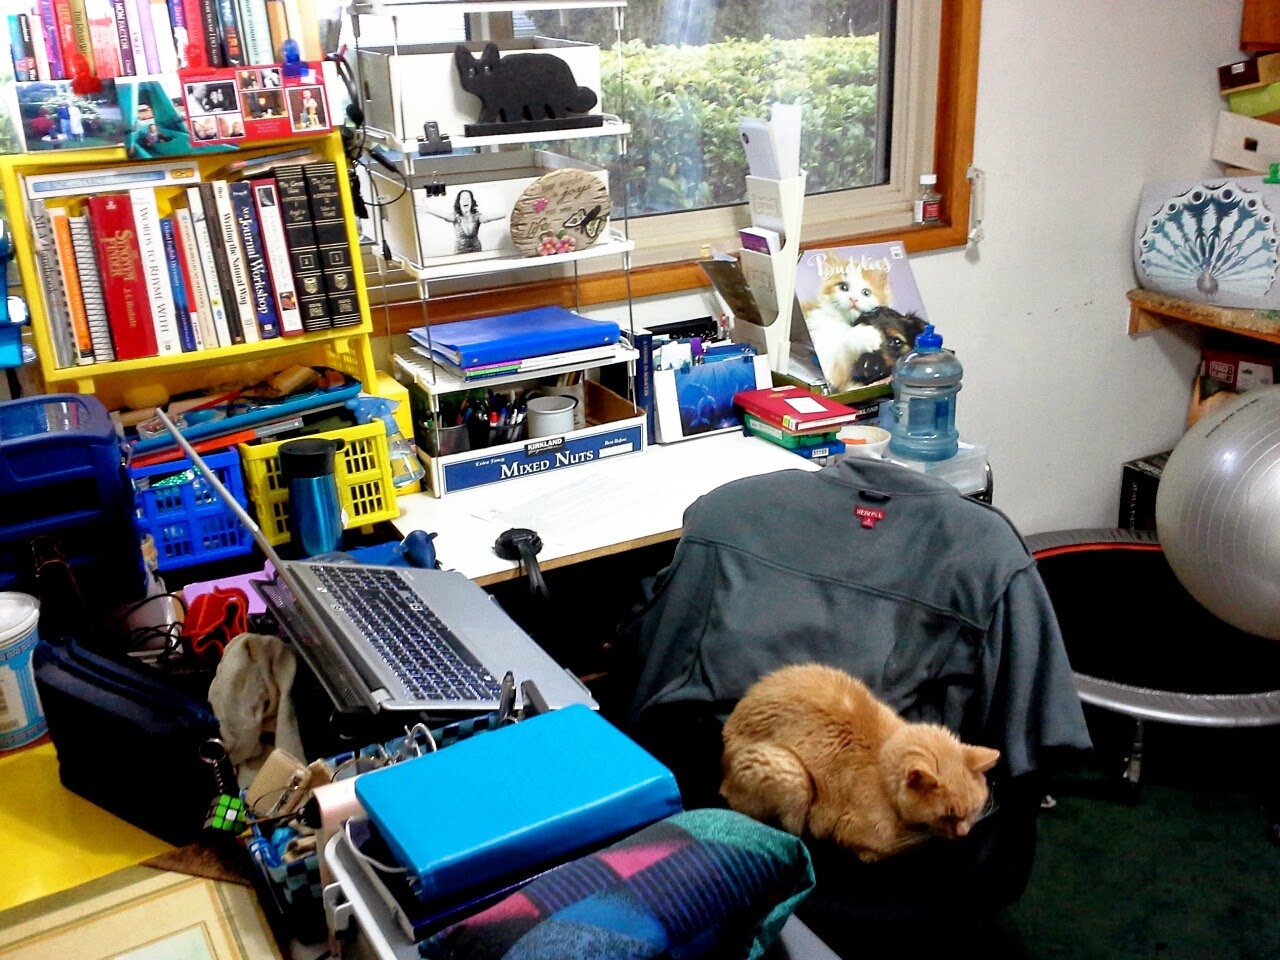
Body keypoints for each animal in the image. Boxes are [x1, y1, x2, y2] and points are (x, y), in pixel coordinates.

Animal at [720, 663, 1000, 863]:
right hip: (790, 775)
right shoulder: (860, 836)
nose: (963, 834)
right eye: (948, 816)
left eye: (973, 809)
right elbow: (893, 847)